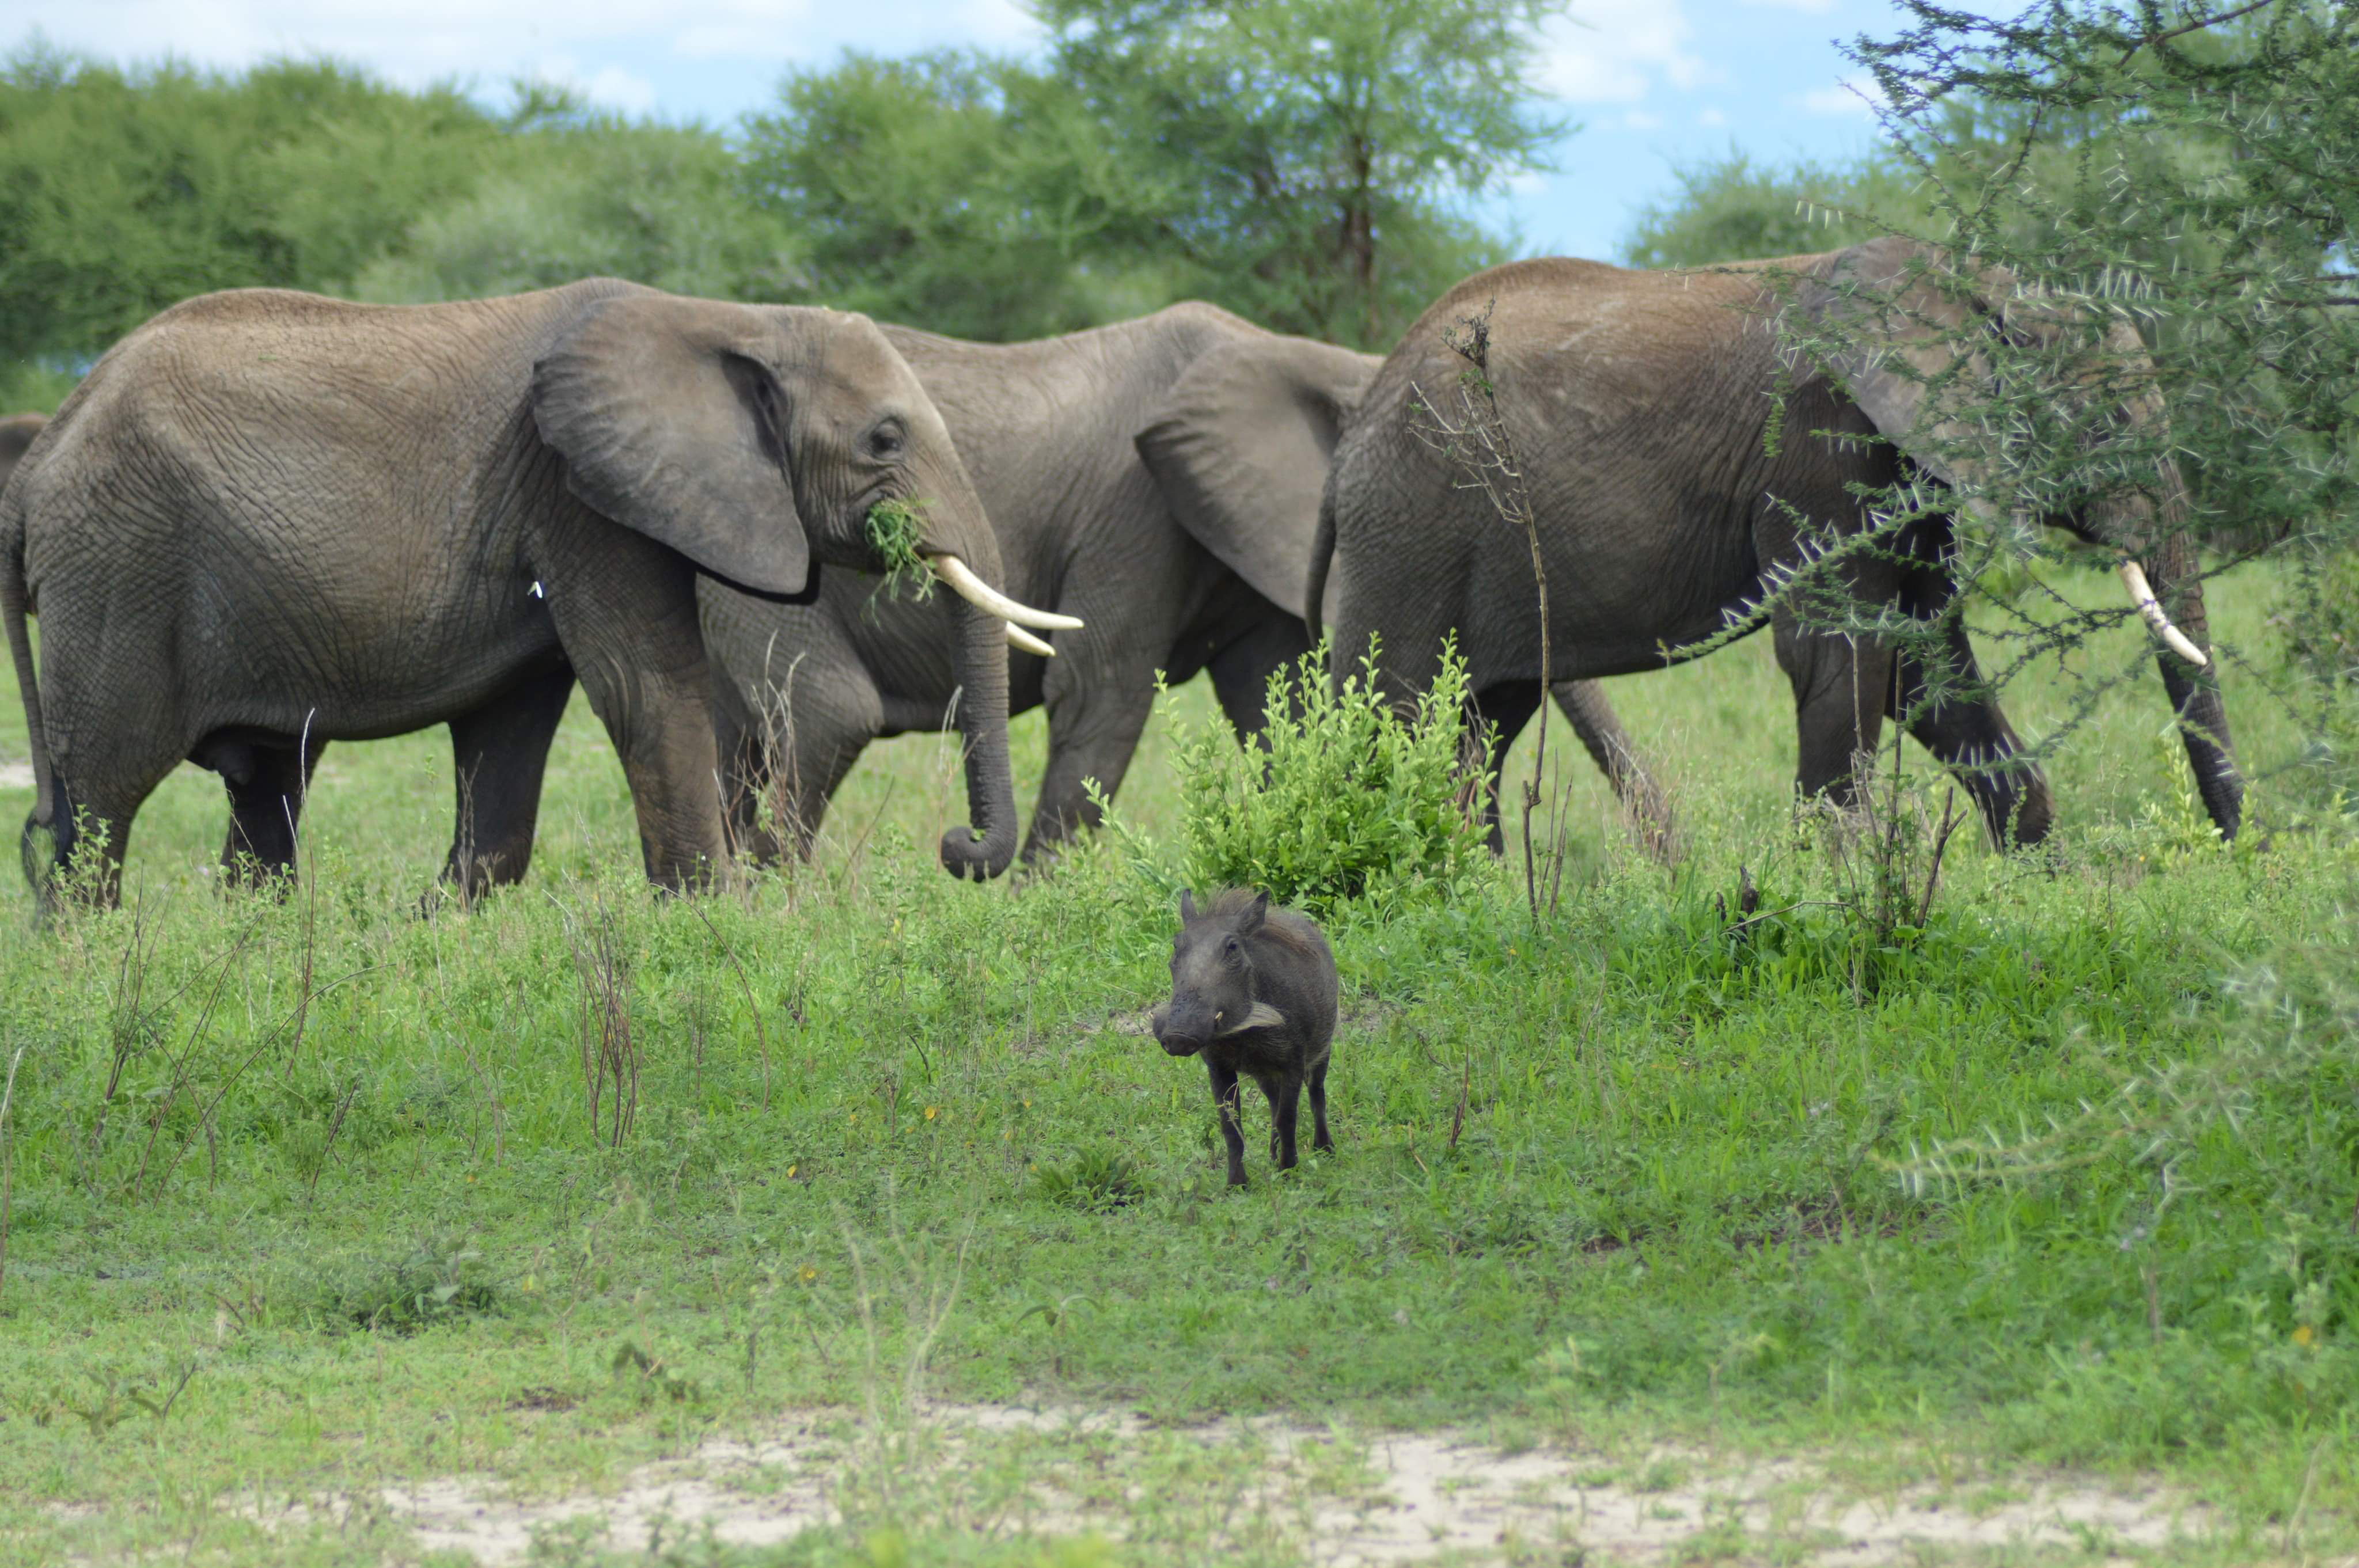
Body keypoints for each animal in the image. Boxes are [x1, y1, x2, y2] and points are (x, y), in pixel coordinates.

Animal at [5, 275, 1075, 901]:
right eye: (885, 439)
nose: (957, 847)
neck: (722, 315)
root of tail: (47, 447)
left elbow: (512, 730)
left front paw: (442, 927)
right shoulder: (579, 495)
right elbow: (648, 688)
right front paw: (720, 921)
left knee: (265, 789)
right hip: (118, 570)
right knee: (99, 801)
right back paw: (89, 961)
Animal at [1311, 238, 2246, 844]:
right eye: (2106, 424)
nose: (2237, 854)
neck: (1973, 284)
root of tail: (1355, 428)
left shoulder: (1909, 463)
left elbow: (1919, 657)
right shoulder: (1821, 442)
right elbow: (1838, 648)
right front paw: (1847, 870)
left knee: (1479, 729)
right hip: (1412, 526)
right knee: (1392, 717)